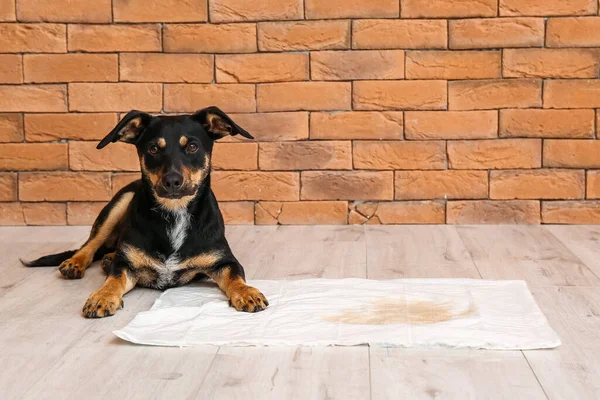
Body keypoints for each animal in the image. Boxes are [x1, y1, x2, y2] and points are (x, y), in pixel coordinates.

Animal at [21, 107, 268, 318]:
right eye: (153, 149)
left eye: (192, 147)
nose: (172, 181)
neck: (174, 214)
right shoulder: (124, 266)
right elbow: (114, 278)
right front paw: (102, 296)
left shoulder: (225, 260)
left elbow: (235, 276)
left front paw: (247, 292)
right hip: (120, 202)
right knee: (91, 244)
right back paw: (76, 262)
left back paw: (107, 258)